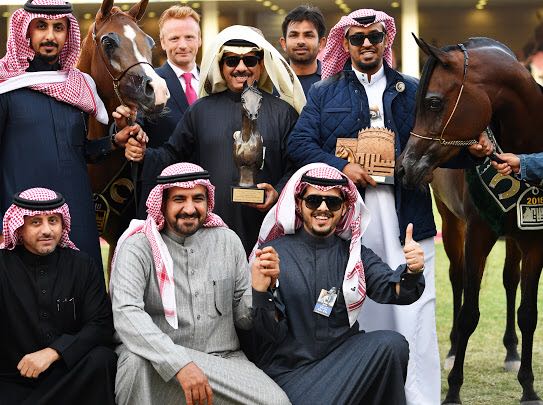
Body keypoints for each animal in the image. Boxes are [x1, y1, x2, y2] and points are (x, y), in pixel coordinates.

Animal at [396, 36, 543, 402]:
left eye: (433, 103)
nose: (404, 167)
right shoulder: (477, 235)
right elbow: (468, 314)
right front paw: (453, 391)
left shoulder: (535, 240)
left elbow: (528, 313)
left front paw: (528, 387)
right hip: (451, 226)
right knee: (458, 279)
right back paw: (450, 351)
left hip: (513, 238)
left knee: (509, 281)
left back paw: (511, 351)